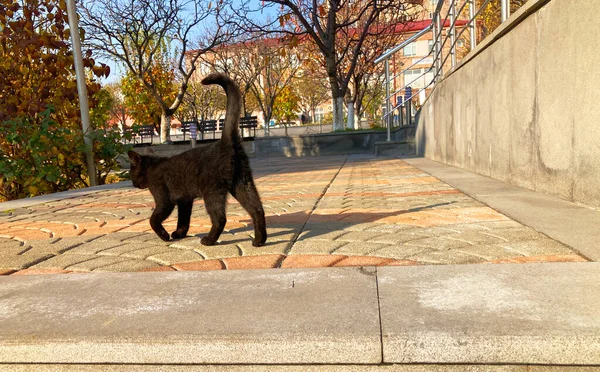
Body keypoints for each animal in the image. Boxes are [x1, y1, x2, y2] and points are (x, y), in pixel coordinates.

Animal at [127, 72, 266, 247]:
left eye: (130, 173)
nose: (133, 184)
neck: (152, 167)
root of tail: (225, 142)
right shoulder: (184, 200)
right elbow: (183, 219)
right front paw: (179, 233)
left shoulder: (165, 199)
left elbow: (154, 219)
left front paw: (164, 235)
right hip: (243, 183)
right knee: (257, 209)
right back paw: (259, 240)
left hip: (213, 191)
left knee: (220, 218)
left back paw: (208, 240)